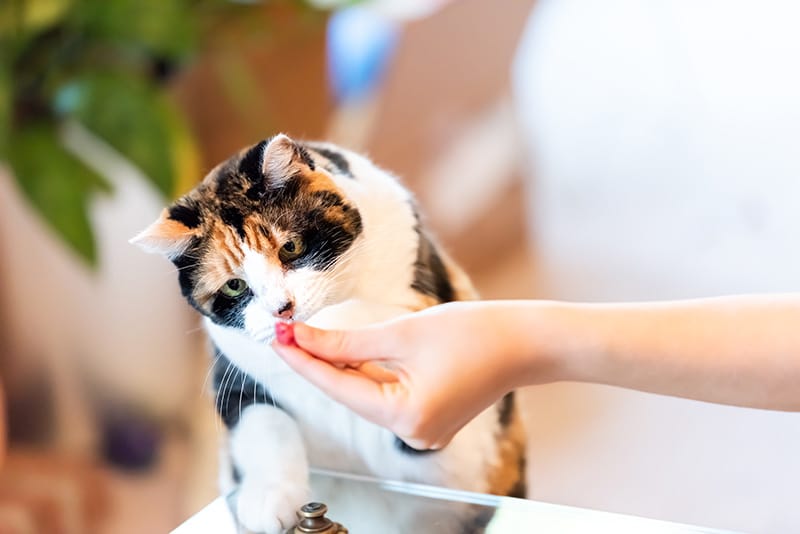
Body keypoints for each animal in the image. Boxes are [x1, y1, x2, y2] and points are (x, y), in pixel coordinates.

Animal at [131, 135, 524, 534]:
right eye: (234, 286)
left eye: (290, 247)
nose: (282, 309)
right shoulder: (236, 379)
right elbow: (264, 425)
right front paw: (268, 501)